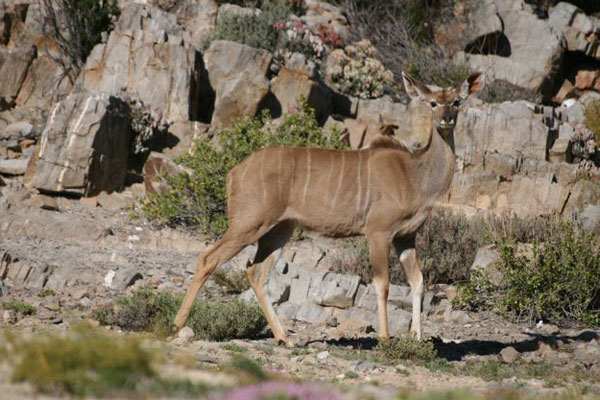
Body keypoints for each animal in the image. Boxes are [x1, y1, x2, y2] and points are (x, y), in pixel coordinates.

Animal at [173, 71, 482, 344]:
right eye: (432, 102)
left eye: (457, 101)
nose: (446, 118)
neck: (414, 175)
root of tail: (233, 173)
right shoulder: (378, 232)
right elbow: (382, 284)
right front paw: (385, 339)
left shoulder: (406, 237)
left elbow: (418, 282)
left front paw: (417, 338)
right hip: (248, 224)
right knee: (208, 259)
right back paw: (177, 325)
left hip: (279, 230)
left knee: (256, 274)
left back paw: (285, 338)